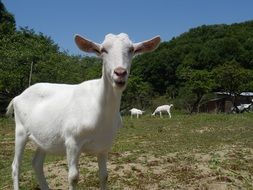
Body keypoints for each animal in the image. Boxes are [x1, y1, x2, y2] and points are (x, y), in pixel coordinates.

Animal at [6, 33, 161, 189]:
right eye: (103, 50)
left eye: (131, 50)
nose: (120, 72)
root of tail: (18, 97)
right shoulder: (72, 141)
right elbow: (73, 177)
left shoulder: (104, 145)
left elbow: (104, 176)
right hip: (20, 130)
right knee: (15, 166)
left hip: (44, 137)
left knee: (37, 163)